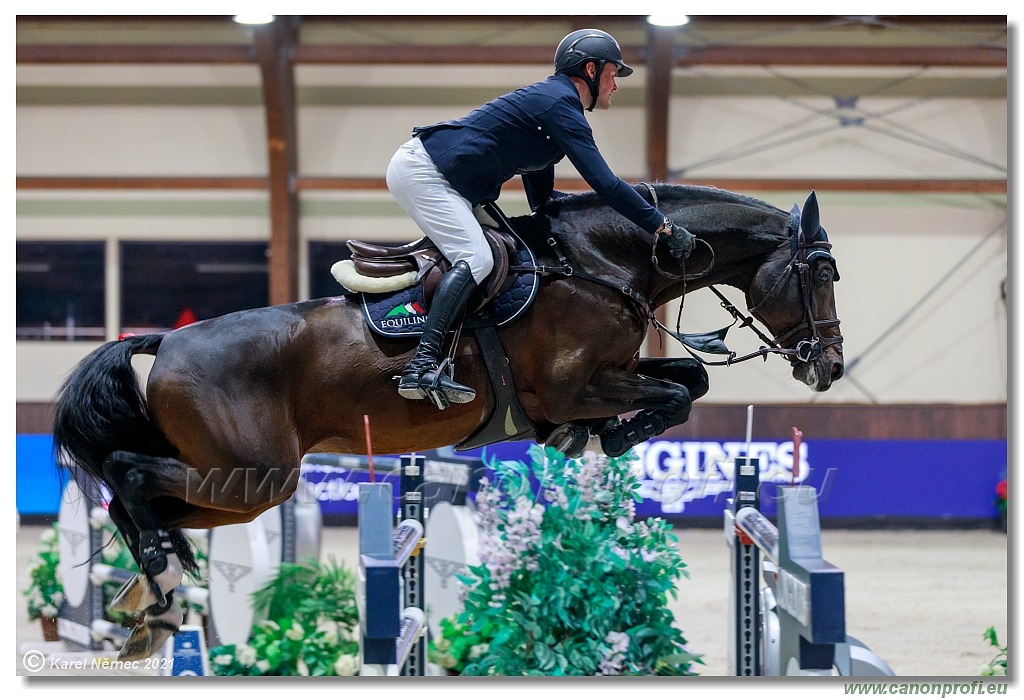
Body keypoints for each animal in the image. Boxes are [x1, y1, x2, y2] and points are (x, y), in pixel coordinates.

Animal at [51, 183, 843, 659]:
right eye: (824, 274)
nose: (829, 367)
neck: (601, 263)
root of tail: (166, 341)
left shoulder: (613, 374)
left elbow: (690, 380)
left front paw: (611, 437)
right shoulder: (574, 388)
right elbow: (675, 395)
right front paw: (611, 436)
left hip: (239, 486)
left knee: (138, 499)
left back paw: (150, 602)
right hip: (255, 476)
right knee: (126, 473)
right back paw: (156, 584)